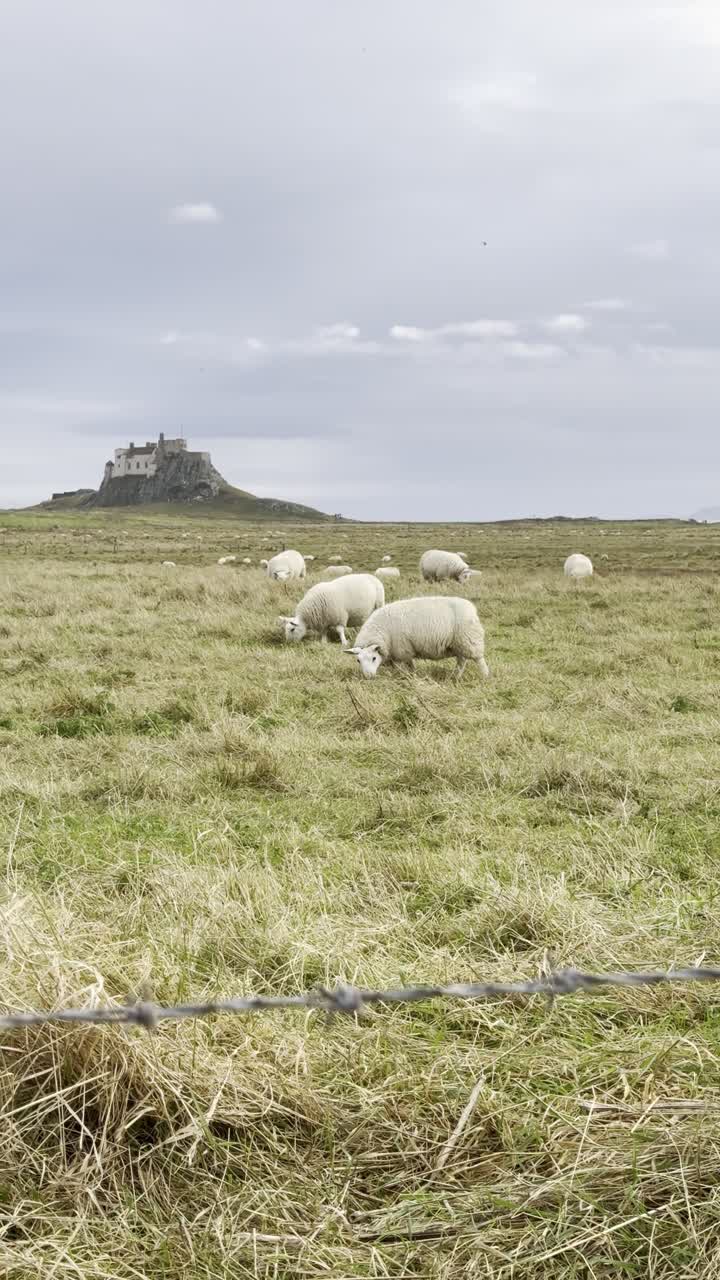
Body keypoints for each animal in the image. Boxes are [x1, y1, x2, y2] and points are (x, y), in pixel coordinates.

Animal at [346, 596, 490, 680]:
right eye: (358, 660)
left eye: (374, 658)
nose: (368, 676)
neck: (382, 631)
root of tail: (471, 608)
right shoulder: (402, 651)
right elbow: (408, 665)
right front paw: (411, 675)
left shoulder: (402, 650)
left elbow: (403, 667)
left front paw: (404, 677)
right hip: (459, 643)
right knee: (461, 661)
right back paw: (455, 677)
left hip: (469, 639)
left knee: (478, 659)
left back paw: (485, 676)